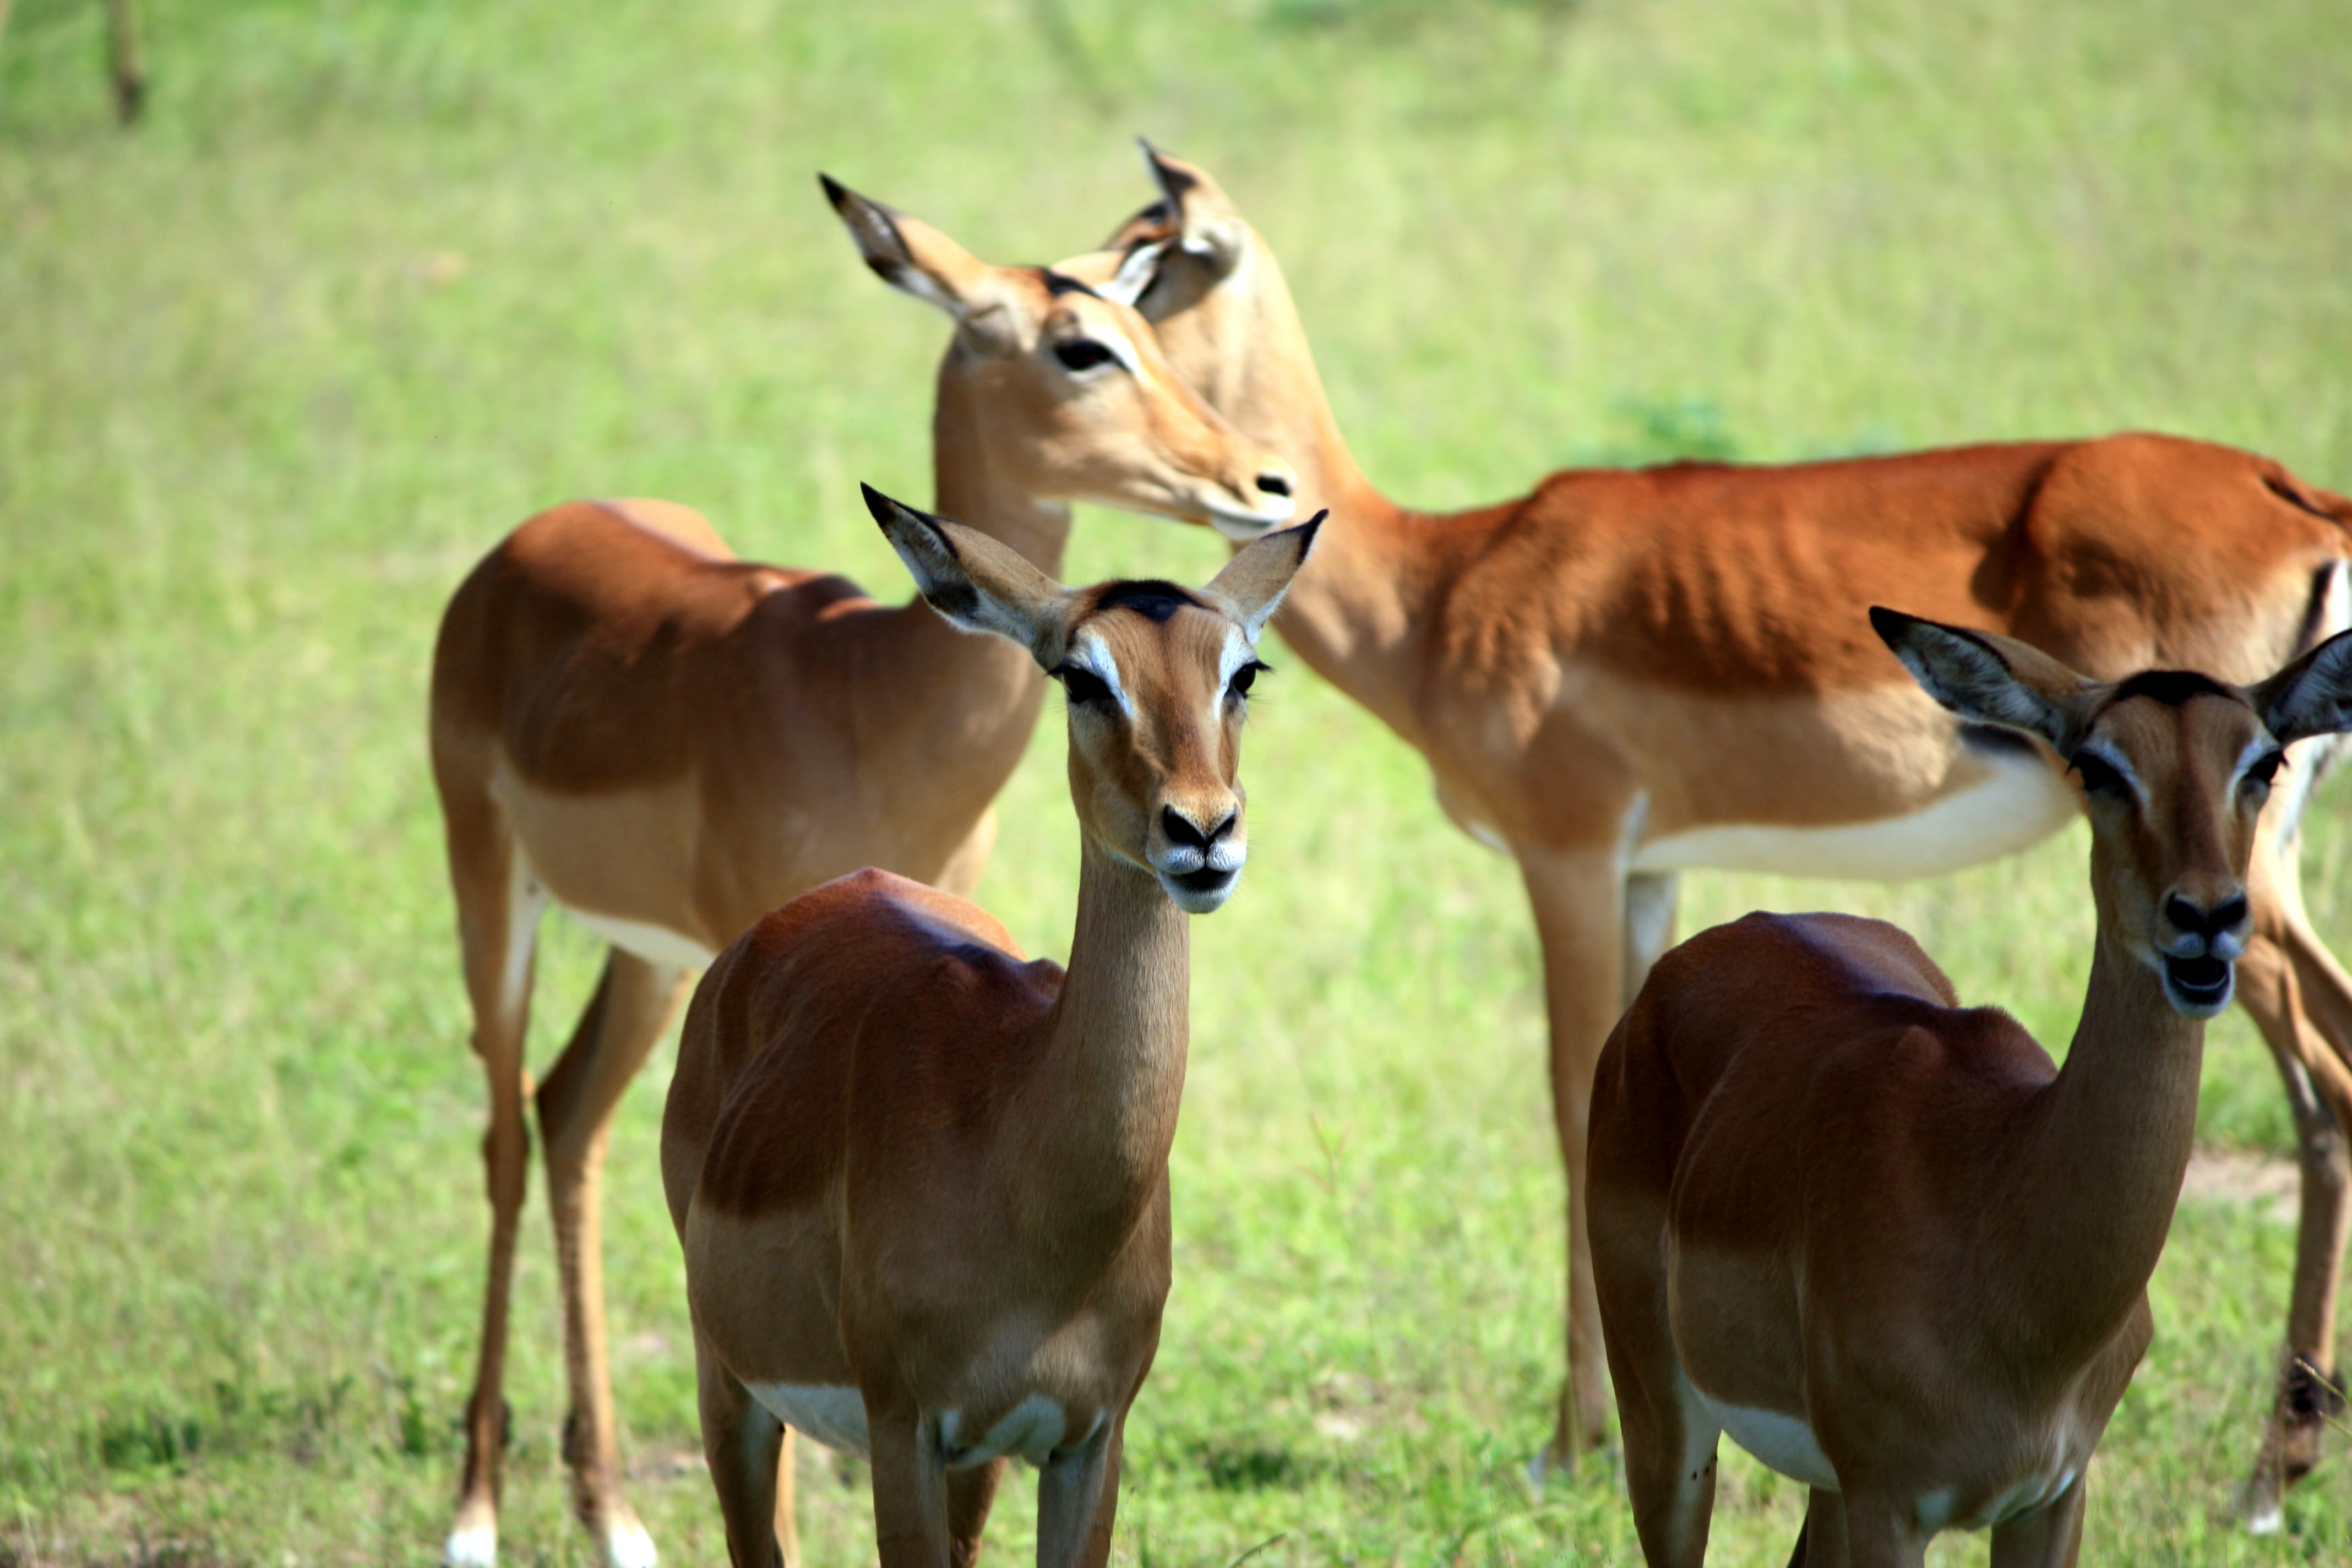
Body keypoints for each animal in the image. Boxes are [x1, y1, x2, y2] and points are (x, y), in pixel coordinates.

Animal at [658, 485, 1319, 1568]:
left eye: (1244, 671)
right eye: (1083, 678)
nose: (1203, 831)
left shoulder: (1085, 1439)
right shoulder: (904, 1431)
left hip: (975, 1464)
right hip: (734, 1391)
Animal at [1586, 611, 2352, 1567]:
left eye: (2264, 762)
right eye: (2098, 767)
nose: (2207, 917)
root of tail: (1684, 964)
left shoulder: (2051, 1497)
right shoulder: (1891, 1503)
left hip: (1822, 1484)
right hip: (1668, 1423)